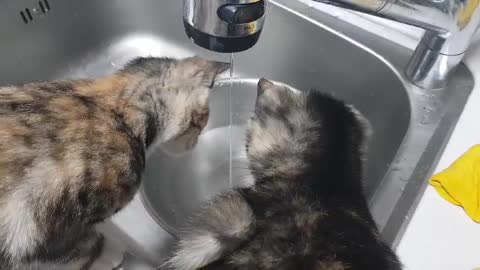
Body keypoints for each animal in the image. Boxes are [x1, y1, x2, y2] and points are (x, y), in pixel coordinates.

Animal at [0, 56, 230, 268]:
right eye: (201, 122)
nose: (194, 145)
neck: (118, 110)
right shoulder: (44, 228)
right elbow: (81, 247)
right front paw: (109, 255)